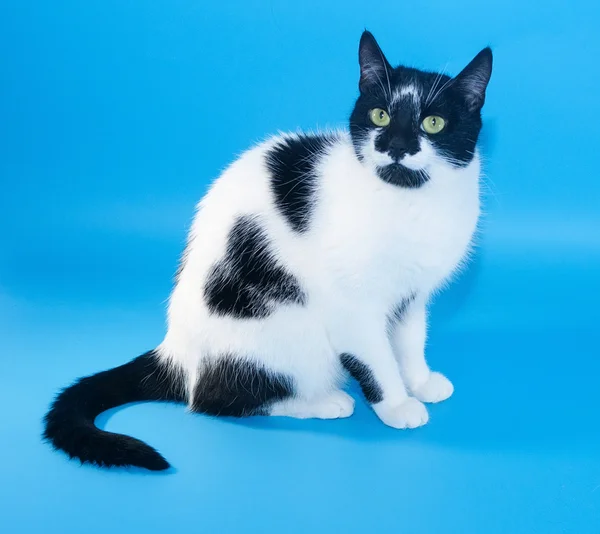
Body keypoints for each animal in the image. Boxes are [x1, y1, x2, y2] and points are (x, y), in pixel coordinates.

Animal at [42, 30, 492, 474]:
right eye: (380, 115)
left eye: (433, 123)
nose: (397, 146)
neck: (408, 202)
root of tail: (173, 353)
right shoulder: (352, 305)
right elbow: (376, 357)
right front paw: (397, 404)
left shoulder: (411, 295)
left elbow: (410, 338)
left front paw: (420, 380)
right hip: (288, 334)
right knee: (214, 398)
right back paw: (323, 401)